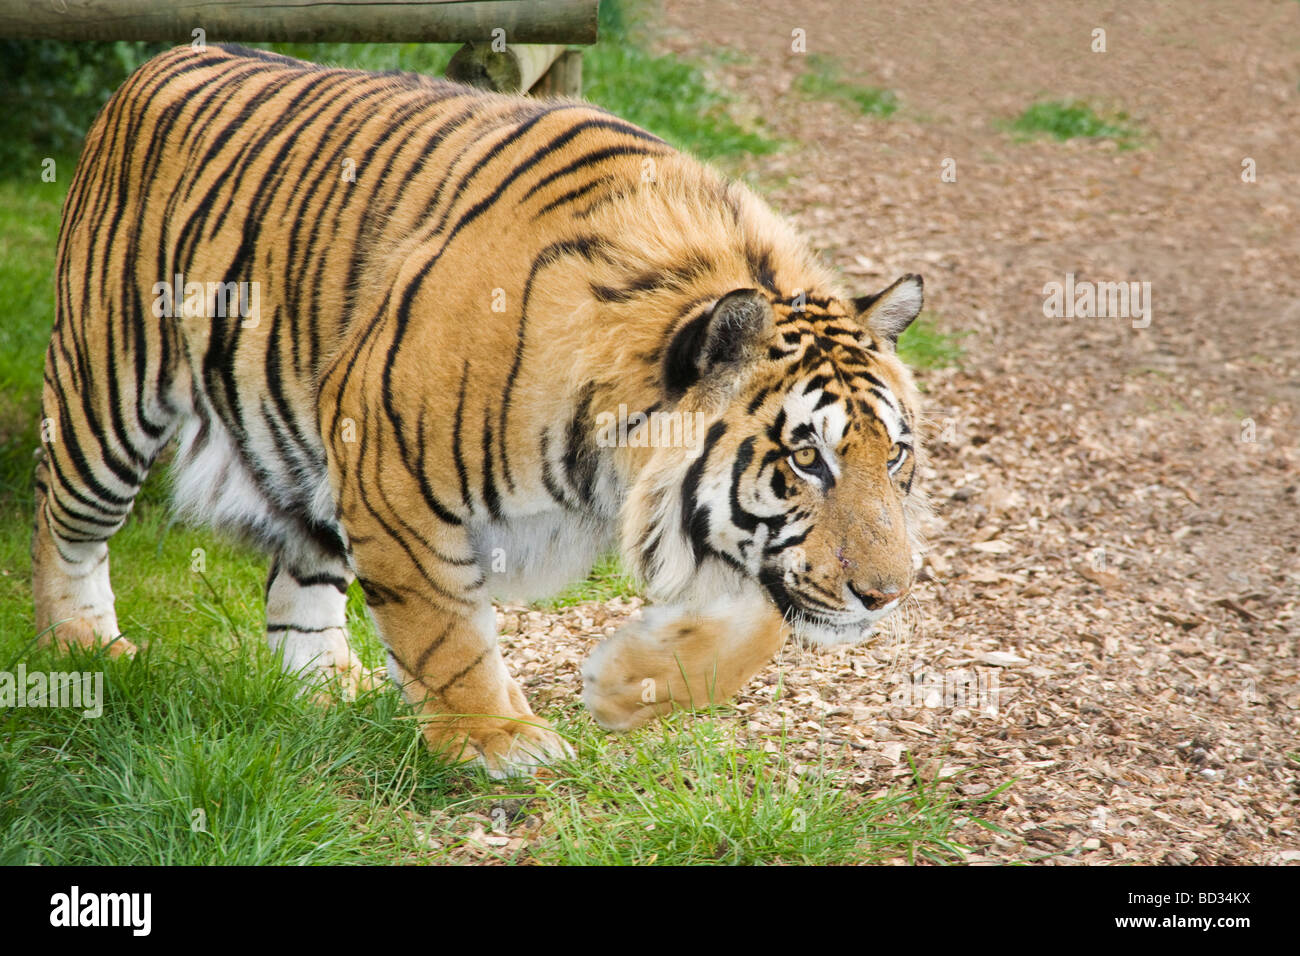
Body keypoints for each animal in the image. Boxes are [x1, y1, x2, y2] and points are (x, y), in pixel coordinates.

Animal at [30, 42, 925, 780]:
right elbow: (445, 625)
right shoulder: (387, 461)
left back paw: (331, 690)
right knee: (64, 523)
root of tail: (163, 61)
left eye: (896, 457)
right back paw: (83, 646)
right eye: (806, 459)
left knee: (302, 585)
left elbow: (769, 614)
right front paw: (495, 736)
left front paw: (627, 684)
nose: (890, 596)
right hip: (107, 395)